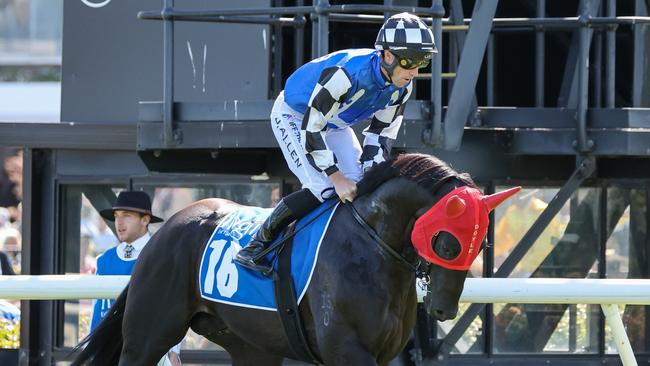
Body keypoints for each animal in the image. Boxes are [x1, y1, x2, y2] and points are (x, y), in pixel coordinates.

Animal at [71, 153, 512, 364]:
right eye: (448, 245)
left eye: (481, 246)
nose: (443, 310)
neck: (370, 244)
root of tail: (166, 231)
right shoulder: (347, 350)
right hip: (149, 334)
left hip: (251, 346)